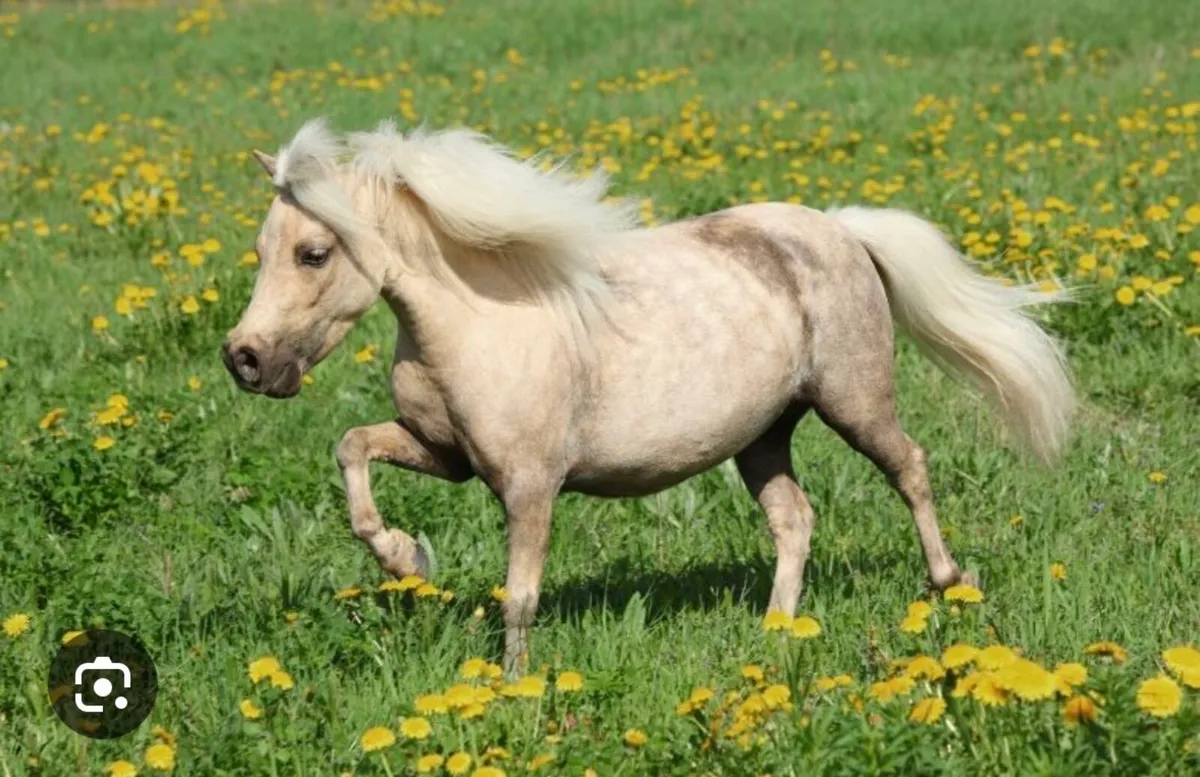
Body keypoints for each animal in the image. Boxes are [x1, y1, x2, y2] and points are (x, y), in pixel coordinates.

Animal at [223, 118, 1073, 675]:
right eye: (262, 250)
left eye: (314, 252)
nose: (245, 359)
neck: (480, 318)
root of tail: (840, 229)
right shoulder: (445, 454)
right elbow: (352, 448)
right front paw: (406, 558)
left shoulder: (530, 484)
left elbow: (520, 595)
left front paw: (512, 688)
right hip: (762, 435)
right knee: (795, 519)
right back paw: (774, 629)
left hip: (855, 401)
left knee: (911, 468)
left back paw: (950, 584)